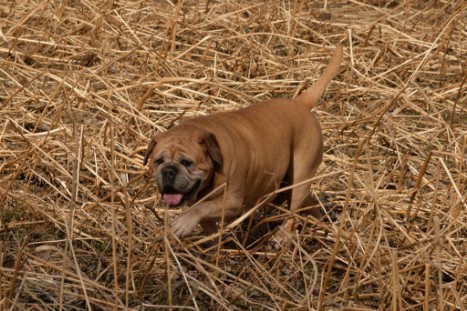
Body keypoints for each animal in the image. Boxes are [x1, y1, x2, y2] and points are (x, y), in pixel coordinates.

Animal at [143, 42, 344, 240]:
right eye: (158, 161)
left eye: (187, 162)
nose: (168, 171)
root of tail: (300, 103)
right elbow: (208, 224)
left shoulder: (232, 202)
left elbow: (202, 208)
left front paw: (182, 224)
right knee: (308, 204)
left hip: (300, 178)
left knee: (293, 214)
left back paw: (283, 236)